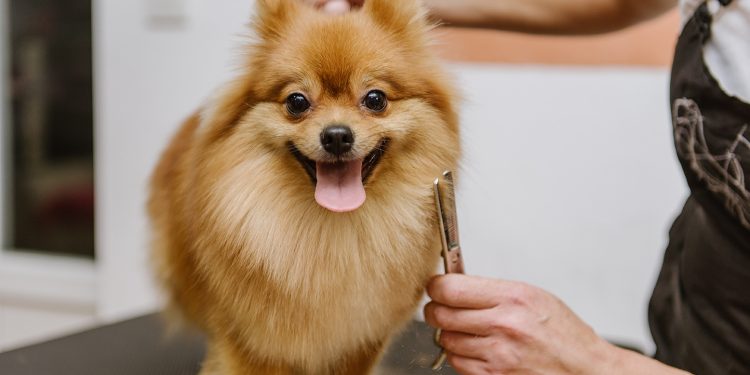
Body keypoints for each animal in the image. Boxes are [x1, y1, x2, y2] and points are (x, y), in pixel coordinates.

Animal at [151, 0, 462, 374]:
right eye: (297, 102)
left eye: (375, 99)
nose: (337, 135)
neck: (333, 235)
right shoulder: (251, 345)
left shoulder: (361, 342)